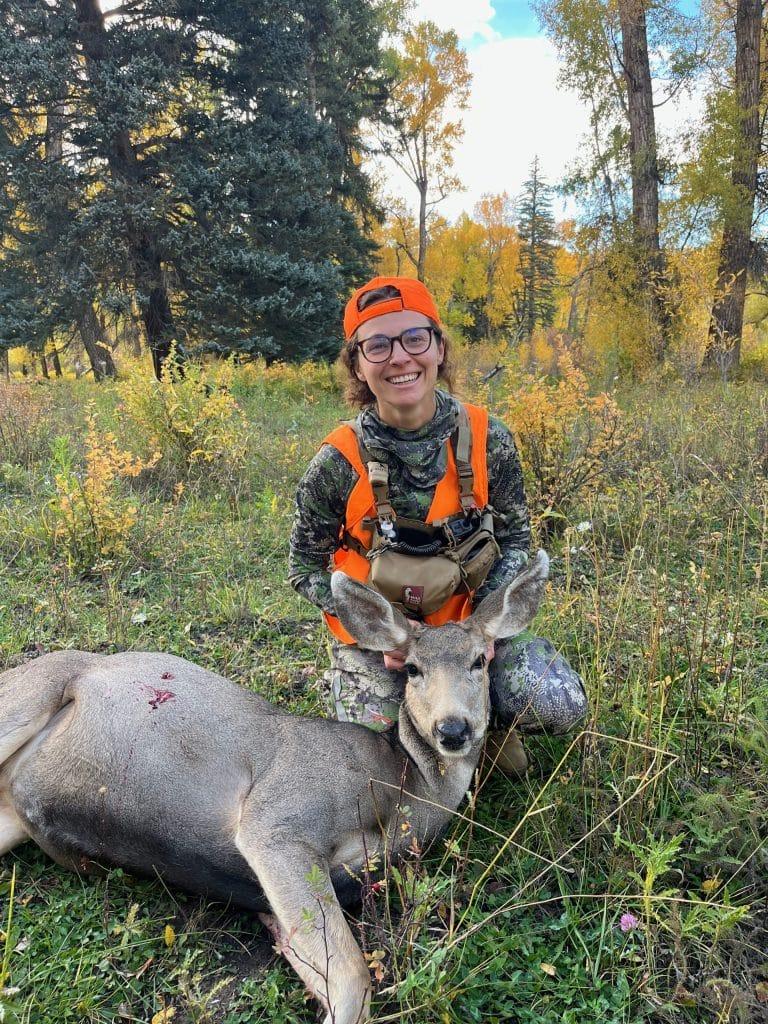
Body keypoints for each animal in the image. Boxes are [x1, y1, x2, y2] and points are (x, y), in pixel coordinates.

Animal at [0, 552, 552, 1024]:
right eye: (413, 668)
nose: (453, 729)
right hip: (29, 692)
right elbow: (354, 978)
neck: (401, 790)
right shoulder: (279, 817)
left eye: (480, 661)